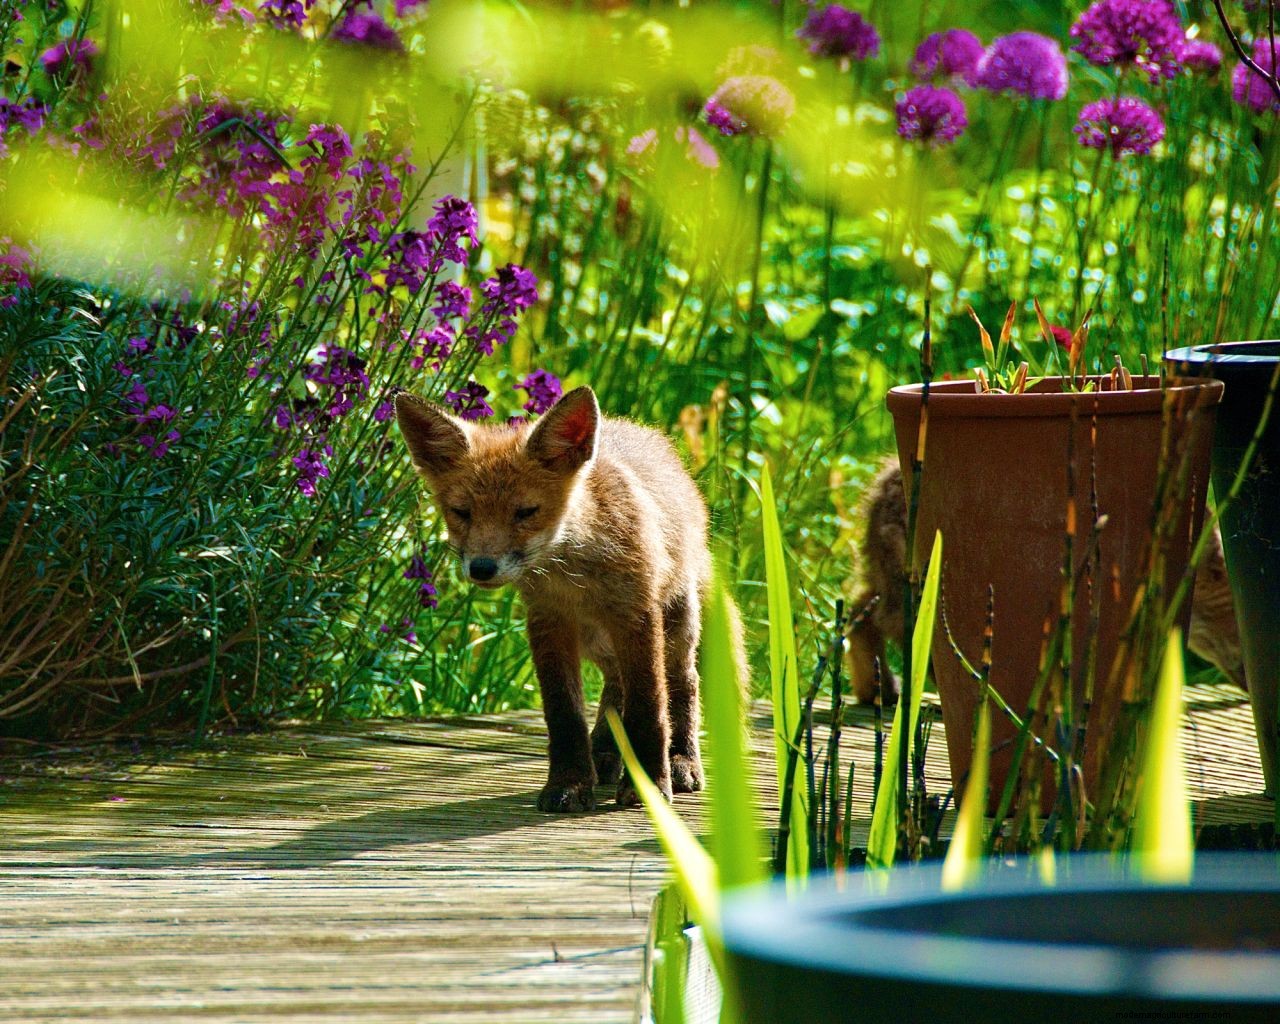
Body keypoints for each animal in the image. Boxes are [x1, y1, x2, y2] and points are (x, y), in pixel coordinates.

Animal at [394, 385, 716, 813]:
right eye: (461, 512)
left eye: (526, 512)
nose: (481, 568)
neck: (575, 574)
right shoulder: (548, 620)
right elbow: (564, 714)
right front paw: (570, 784)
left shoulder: (636, 615)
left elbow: (649, 706)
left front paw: (647, 786)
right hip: (598, 641)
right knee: (615, 688)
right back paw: (606, 752)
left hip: (675, 628)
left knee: (683, 683)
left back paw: (680, 759)